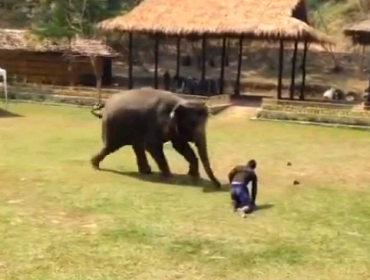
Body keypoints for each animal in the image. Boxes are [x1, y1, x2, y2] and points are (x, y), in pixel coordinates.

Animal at [90, 87, 220, 188]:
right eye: (192, 124)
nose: (218, 186)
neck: (181, 102)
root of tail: (107, 103)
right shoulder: (155, 124)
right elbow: (153, 146)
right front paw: (171, 179)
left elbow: (180, 146)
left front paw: (194, 176)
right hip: (112, 126)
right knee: (110, 147)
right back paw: (95, 165)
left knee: (136, 146)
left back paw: (146, 171)